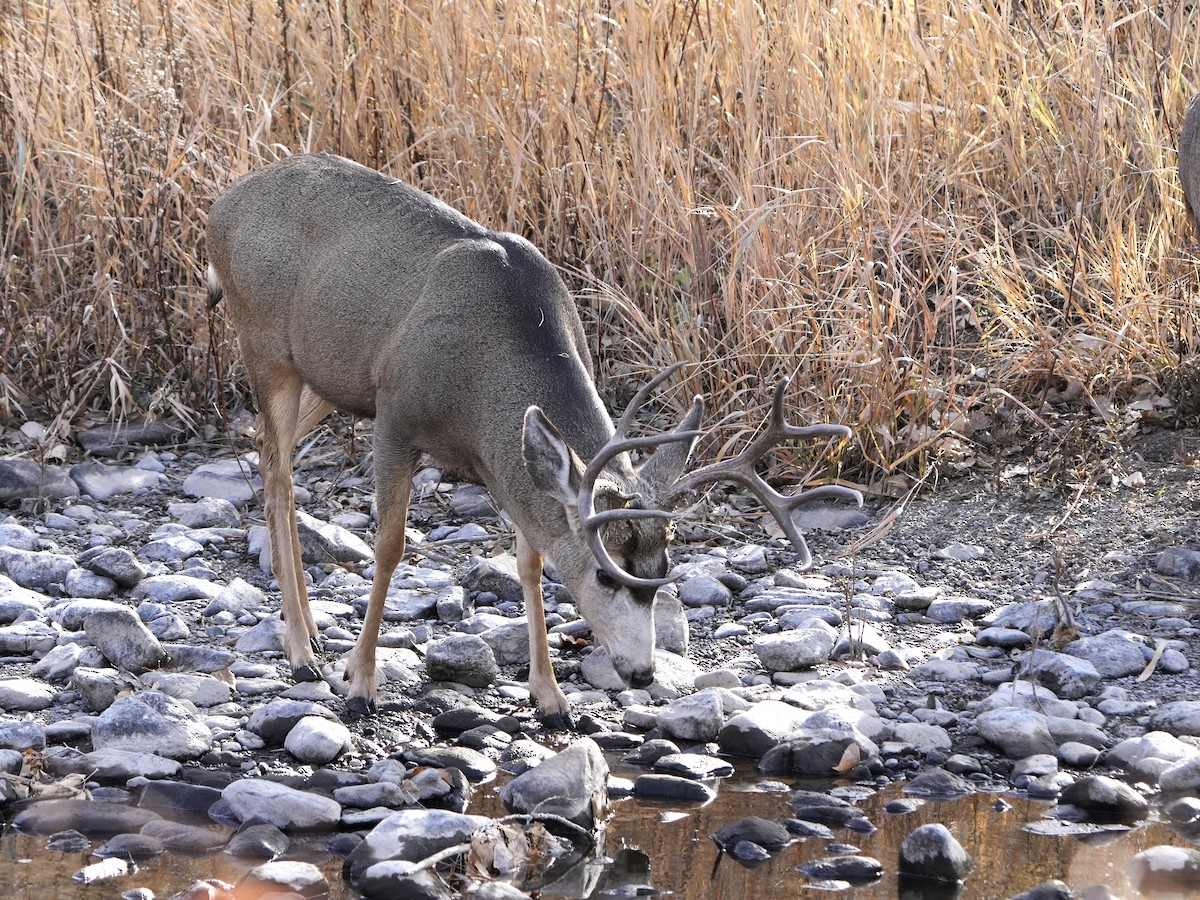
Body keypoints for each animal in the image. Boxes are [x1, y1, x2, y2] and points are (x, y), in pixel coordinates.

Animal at [205, 153, 861, 722]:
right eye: (606, 574)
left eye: (660, 572)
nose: (643, 673)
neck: (479, 374)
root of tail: (222, 205)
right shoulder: (395, 413)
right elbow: (389, 548)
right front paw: (362, 683)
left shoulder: (505, 458)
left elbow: (529, 560)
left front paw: (550, 699)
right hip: (264, 344)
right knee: (277, 473)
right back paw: (301, 652)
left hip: (325, 377)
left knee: (271, 456)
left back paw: (313, 635)